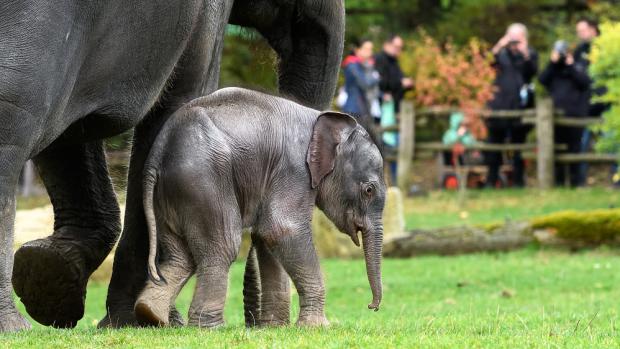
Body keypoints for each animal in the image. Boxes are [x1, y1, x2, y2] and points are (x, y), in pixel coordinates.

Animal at [1, 0, 344, 332]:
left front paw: (47, 277)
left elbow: (71, 130)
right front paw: (142, 321)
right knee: (16, 125)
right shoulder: (205, 21)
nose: (258, 325)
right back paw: (15, 327)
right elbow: (177, 104)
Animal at [136, 87, 386, 326]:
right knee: (223, 246)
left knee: (181, 256)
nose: (372, 306)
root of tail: (158, 154)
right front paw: (318, 327)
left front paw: (274, 326)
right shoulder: (294, 169)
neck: (321, 119)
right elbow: (282, 229)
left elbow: (265, 236)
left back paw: (150, 314)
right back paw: (210, 328)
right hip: (203, 181)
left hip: (171, 194)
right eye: (369, 190)